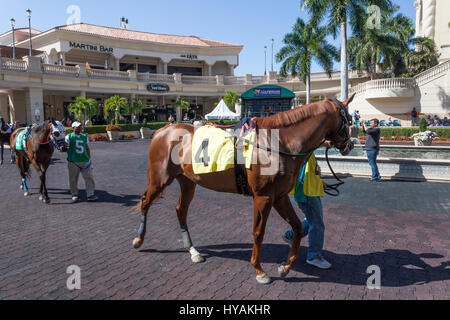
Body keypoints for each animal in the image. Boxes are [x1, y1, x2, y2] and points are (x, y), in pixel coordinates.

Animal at [132, 94, 356, 282]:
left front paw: (285, 267)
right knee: (145, 201)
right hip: (159, 179)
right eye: (348, 120)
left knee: (180, 210)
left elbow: (298, 228)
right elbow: (258, 232)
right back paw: (138, 239)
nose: (350, 145)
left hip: (187, 181)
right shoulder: (263, 196)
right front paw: (259, 270)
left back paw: (193, 251)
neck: (279, 142)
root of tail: (163, 130)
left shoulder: (279, 196)